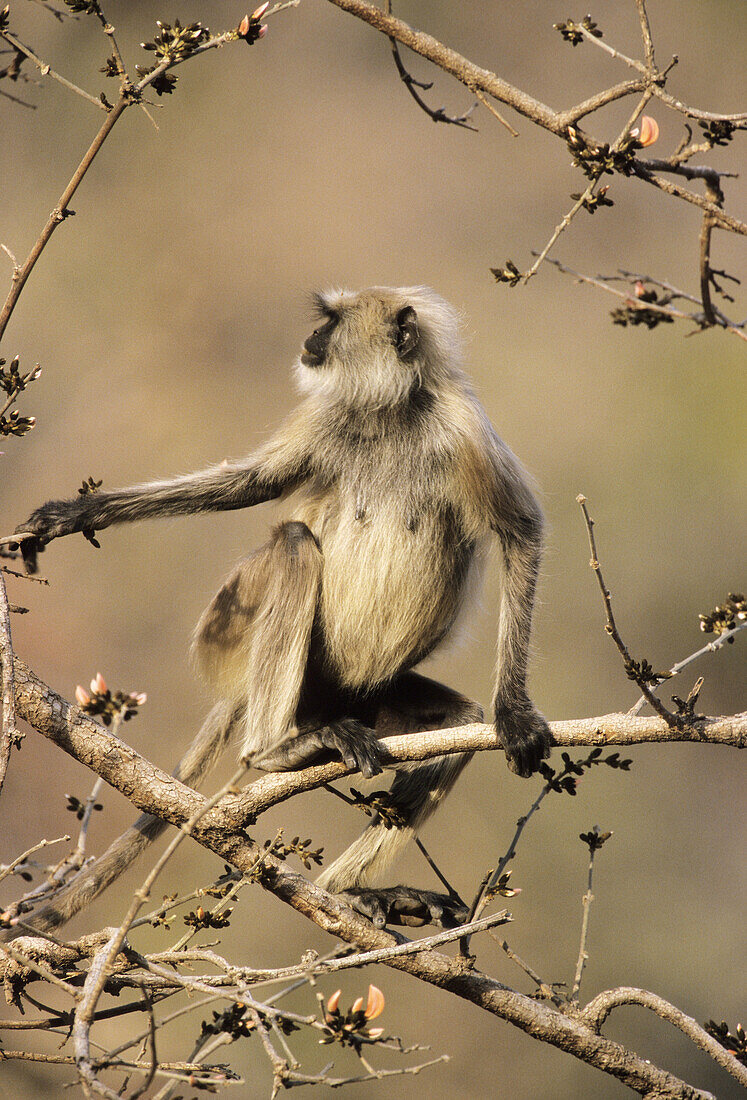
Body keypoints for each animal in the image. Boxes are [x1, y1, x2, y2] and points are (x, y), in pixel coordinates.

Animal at [8, 283, 552, 928]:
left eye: (332, 323)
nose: (311, 340)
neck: (390, 416)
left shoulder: (464, 428)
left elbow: (519, 531)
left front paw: (513, 713)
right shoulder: (326, 420)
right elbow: (250, 485)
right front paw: (73, 514)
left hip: (355, 697)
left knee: (459, 723)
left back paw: (350, 892)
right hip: (233, 629)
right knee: (294, 543)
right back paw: (274, 752)